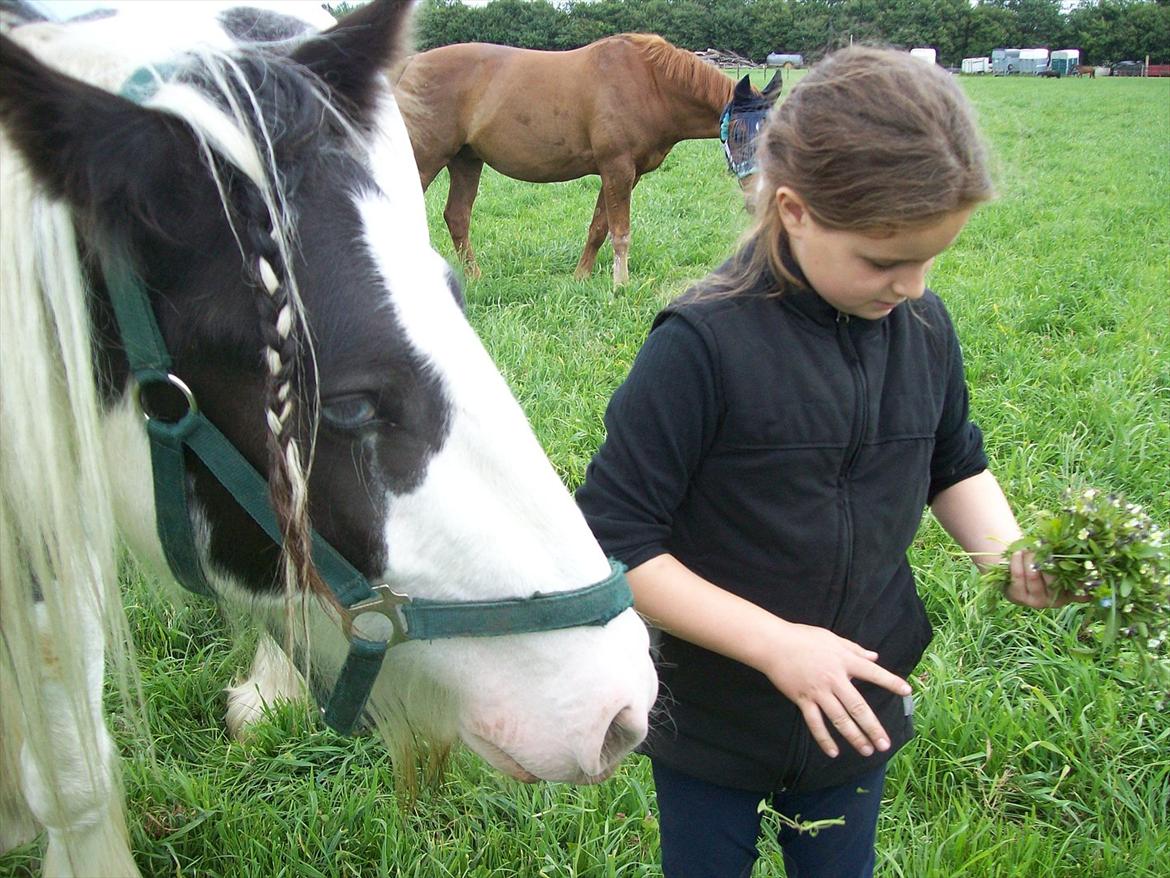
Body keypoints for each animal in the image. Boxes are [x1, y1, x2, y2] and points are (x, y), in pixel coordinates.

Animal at [397, 35, 781, 285]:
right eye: (739, 135)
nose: (760, 199)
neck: (650, 84)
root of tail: (411, 64)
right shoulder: (617, 169)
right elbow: (621, 231)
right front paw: (620, 285)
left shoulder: (624, 174)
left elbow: (599, 227)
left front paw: (581, 276)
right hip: (425, 159)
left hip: (465, 161)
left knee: (457, 216)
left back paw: (474, 277)